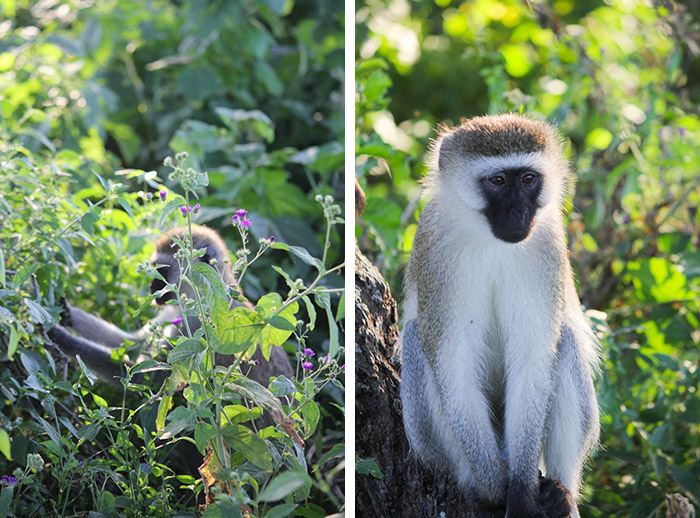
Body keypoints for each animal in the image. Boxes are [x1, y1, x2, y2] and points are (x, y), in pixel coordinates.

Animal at [47, 225, 292, 392]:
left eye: (161, 271)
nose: (151, 288)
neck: (202, 296)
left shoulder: (198, 325)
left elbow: (147, 376)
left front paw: (62, 339)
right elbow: (131, 342)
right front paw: (64, 312)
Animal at [396, 115, 600, 518]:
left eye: (528, 179)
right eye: (498, 181)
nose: (518, 213)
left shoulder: (547, 243)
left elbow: (533, 358)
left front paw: (521, 491)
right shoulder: (436, 247)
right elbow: (453, 360)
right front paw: (493, 489)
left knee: (565, 340)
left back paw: (561, 490)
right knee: (415, 339)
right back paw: (474, 481)